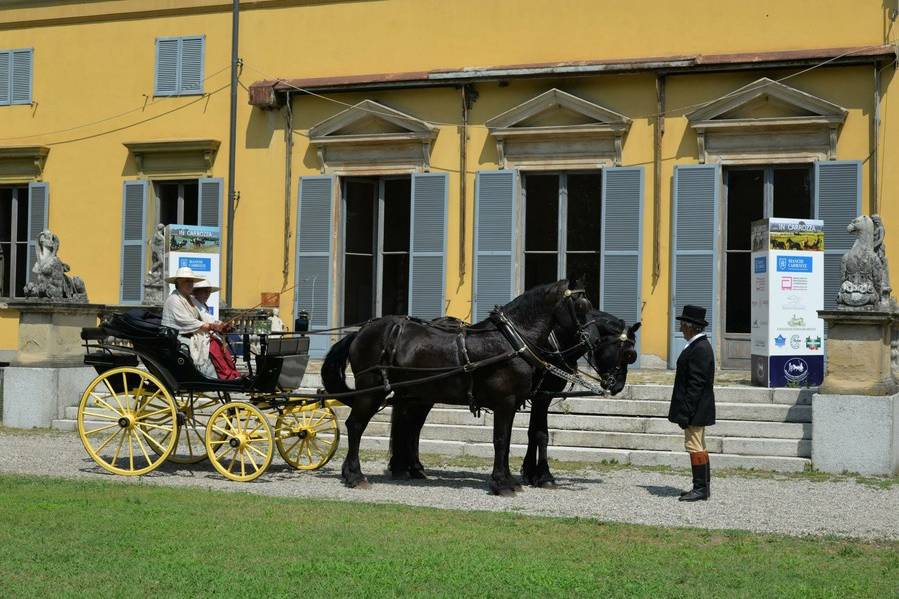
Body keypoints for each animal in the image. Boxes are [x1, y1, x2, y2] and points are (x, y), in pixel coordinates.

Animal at [324, 282, 596, 496]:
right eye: (583, 306)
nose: (593, 340)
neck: (511, 340)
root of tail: (361, 331)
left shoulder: (514, 404)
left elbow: (508, 440)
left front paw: (509, 480)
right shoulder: (505, 402)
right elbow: (501, 440)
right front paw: (501, 483)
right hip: (372, 391)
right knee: (356, 426)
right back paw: (355, 475)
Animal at [386, 310, 640, 488]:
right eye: (628, 354)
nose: (617, 386)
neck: (549, 342)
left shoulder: (540, 396)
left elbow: (533, 432)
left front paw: (530, 472)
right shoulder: (541, 397)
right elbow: (540, 434)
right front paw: (543, 475)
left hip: (421, 395)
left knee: (412, 426)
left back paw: (412, 466)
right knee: (410, 426)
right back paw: (408, 466)